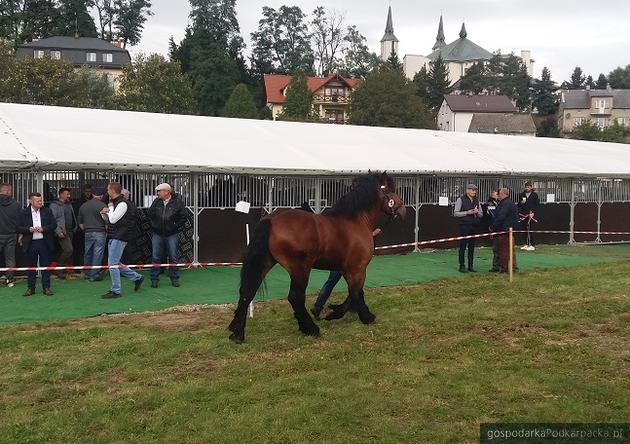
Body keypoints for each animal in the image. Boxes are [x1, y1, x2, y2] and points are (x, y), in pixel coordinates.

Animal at [230, 171, 408, 344]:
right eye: (391, 190)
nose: (402, 209)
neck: (355, 221)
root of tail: (271, 220)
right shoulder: (358, 268)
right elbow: (357, 293)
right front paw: (365, 317)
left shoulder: (346, 269)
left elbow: (353, 293)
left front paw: (335, 311)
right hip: (300, 269)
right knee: (295, 297)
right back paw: (311, 329)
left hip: (266, 262)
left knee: (247, 292)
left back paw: (237, 333)